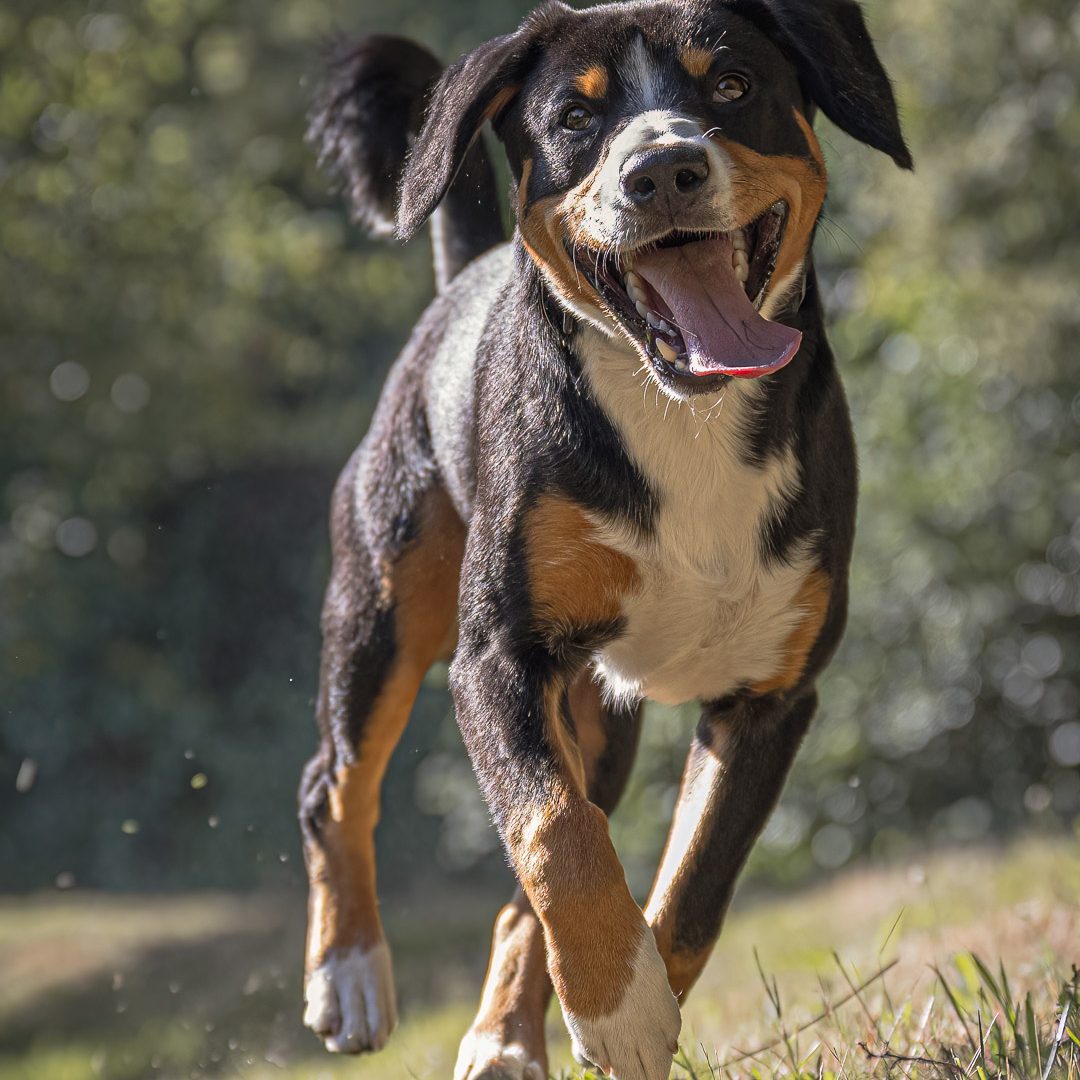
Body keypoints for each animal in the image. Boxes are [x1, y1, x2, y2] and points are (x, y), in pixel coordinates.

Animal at [298, 4, 911, 1075]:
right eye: (576, 119)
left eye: (732, 85)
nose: (662, 169)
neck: (684, 418)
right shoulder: (499, 657)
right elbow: (554, 832)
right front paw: (621, 1007)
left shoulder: (770, 696)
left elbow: (692, 886)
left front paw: (632, 1004)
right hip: (384, 607)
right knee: (333, 785)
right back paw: (350, 978)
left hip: (598, 719)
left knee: (519, 898)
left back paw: (504, 1042)